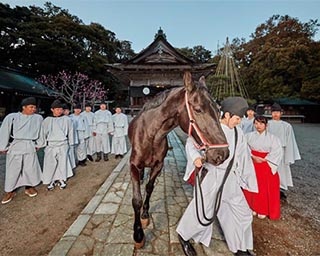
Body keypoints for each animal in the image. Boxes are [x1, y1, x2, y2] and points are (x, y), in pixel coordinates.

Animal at [129, 70, 229, 248]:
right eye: (198, 109)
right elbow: (136, 200)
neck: (151, 135)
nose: (222, 154)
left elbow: (149, 188)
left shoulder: (158, 165)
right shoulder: (133, 165)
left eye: (219, 111)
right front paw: (138, 235)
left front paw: (145, 215)